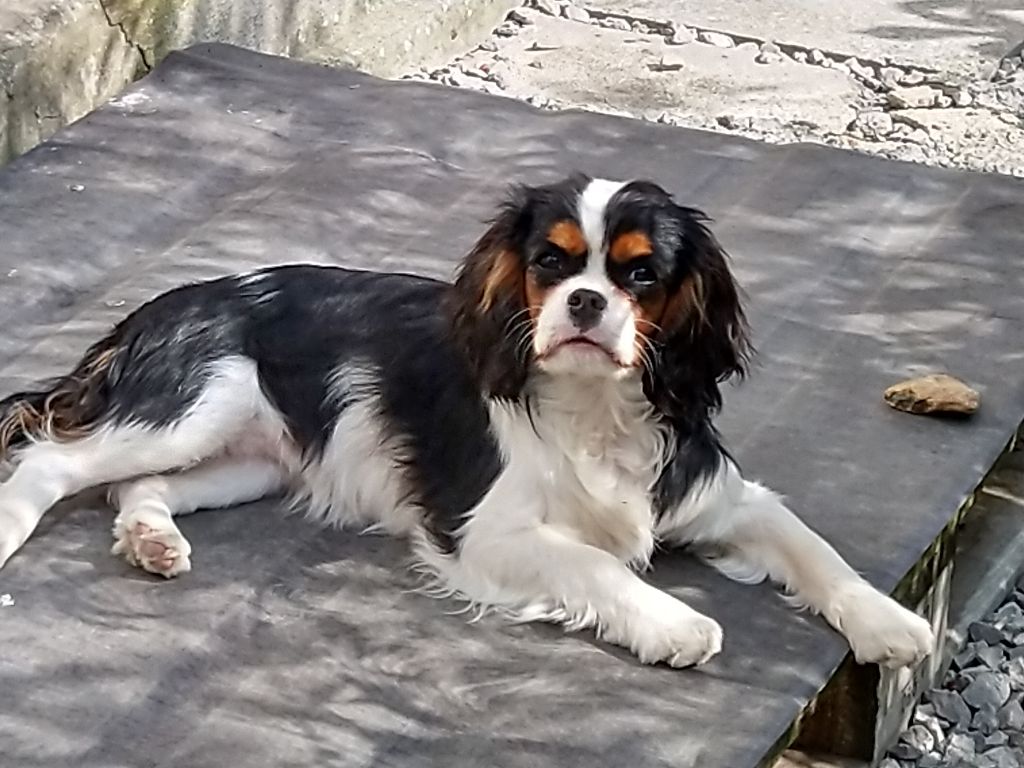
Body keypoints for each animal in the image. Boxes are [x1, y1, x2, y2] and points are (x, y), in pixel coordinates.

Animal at [0, 174, 937, 667]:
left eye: (641, 275)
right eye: (550, 262)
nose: (587, 302)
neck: (594, 406)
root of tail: (151, 312)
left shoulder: (722, 500)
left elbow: (814, 549)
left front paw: (890, 625)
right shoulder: (485, 531)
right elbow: (598, 565)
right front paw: (673, 622)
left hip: (249, 460)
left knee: (134, 489)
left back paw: (152, 542)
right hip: (199, 400)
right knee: (51, 463)